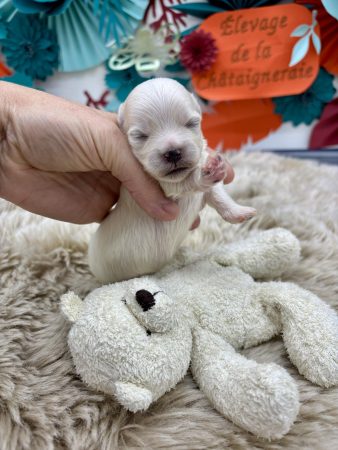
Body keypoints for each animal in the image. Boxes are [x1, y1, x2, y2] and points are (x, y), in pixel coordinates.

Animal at [88, 77, 255, 282]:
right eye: (140, 136)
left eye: (191, 123)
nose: (173, 152)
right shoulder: (158, 184)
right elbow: (185, 182)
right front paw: (207, 173)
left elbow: (218, 195)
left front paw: (240, 211)